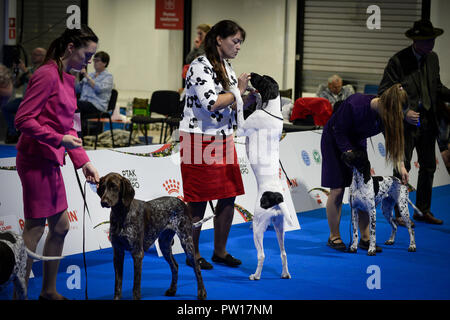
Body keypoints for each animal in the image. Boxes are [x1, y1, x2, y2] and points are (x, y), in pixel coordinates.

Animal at [97, 172, 207, 300]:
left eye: (114, 186)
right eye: (103, 187)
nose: (103, 202)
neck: (121, 214)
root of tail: (181, 202)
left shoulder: (137, 254)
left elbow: (136, 287)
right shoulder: (118, 253)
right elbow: (118, 285)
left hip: (187, 242)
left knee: (196, 267)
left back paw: (202, 293)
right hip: (164, 245)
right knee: (175, 266)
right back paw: (172, 290)